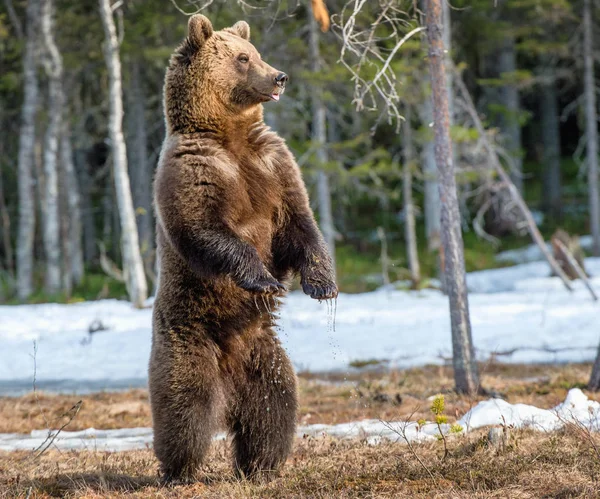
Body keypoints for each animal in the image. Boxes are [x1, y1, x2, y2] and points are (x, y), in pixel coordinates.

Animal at [149, 13, 338, 482]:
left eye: (255, 52)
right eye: (241, 58)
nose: (279, 76)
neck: (229, 135)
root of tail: (228, 385)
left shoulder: (274, 165)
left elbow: (299, 225)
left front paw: (322, 284)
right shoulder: (194, 170)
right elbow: (205, 230)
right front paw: (263, 279)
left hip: (262, 352)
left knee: (274, 406)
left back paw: (261, 464)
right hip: (188, 335)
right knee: (184, 406)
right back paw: (178, 469)